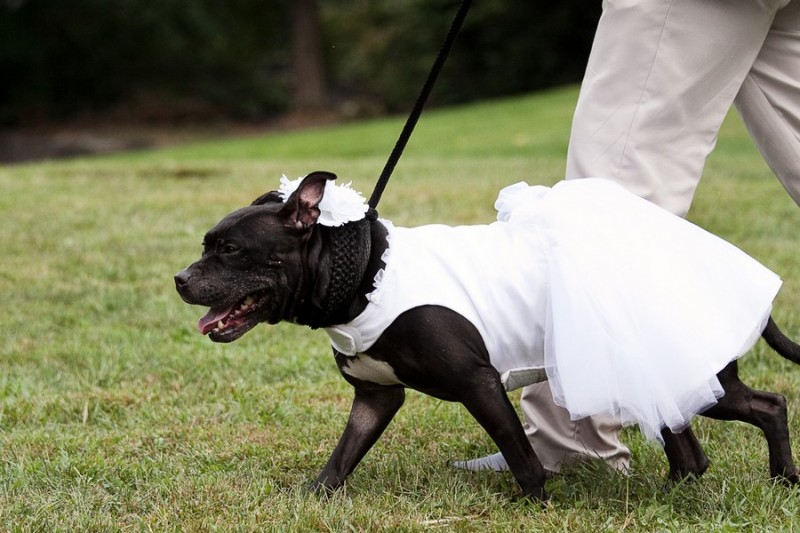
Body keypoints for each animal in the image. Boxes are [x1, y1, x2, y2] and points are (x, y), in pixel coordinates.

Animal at [178, 170, 800, 498]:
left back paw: (782, 479)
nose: (181, 278)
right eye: (207, 245)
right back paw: (677, 489)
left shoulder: (479, 384)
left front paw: (540, 505)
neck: (363, 274)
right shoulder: (376, 397)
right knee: (693, 445)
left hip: (695, 375)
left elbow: (521, 455)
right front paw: (315, 496)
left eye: (229, 250)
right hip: (659, 377)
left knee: (769, 405)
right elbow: (342, 456)